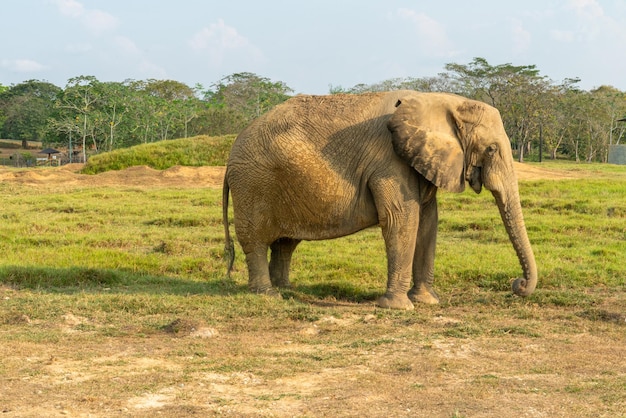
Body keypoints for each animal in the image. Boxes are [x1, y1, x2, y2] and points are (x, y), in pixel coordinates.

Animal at [221, 90, 536, 308]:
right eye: (492, 149)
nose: (517, 284)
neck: (440, 100)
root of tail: (230, 154)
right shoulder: (390, 162)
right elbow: (402, 219)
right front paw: (398, 307)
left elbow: (428, 221)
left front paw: (427, 301)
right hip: (252, 185)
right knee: (256, 241)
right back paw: (268, 295)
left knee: (286, 243)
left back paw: (287, 289)